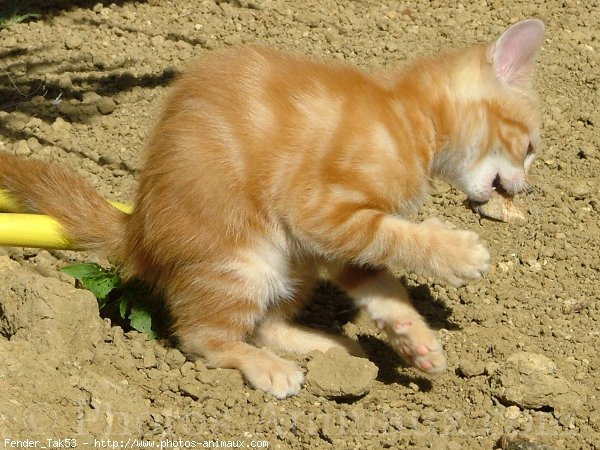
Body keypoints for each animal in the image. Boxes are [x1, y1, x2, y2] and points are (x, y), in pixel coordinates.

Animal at [0, 19, 544, 398]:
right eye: (531, 146)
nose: (528, 187)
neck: (412, 119)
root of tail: (139, 231)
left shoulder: (336, 242)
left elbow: (384, 287)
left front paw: (416, 341)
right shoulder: (319, 211)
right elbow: (398, 236)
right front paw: (457, 254)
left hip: (294, 262)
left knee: (266, 325)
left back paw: (327, 346)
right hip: (244, 261)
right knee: (202, 336)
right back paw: (268, 368)